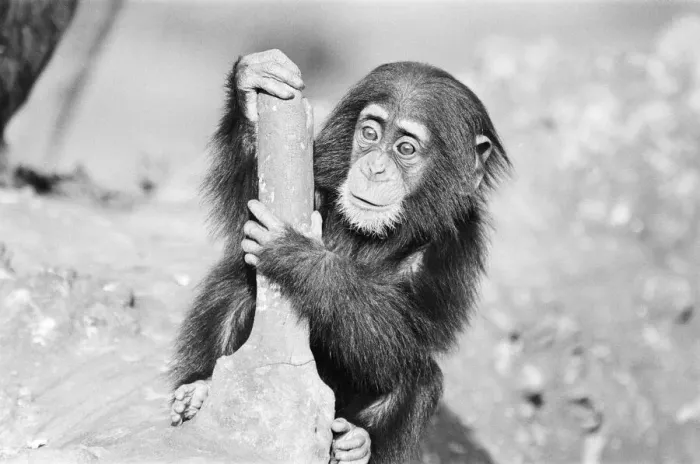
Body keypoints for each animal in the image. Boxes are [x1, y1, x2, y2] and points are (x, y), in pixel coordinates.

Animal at [169, 49, 510, 464]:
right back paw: (200, 389)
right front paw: (252, 83)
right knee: (238, 287)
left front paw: (300, 255)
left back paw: (357, 444)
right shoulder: (317, 184)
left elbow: (402, 334)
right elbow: (249, 206)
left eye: (406, 149)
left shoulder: (451, 248)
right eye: (370, 134)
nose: (374, 167)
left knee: (418, 375)